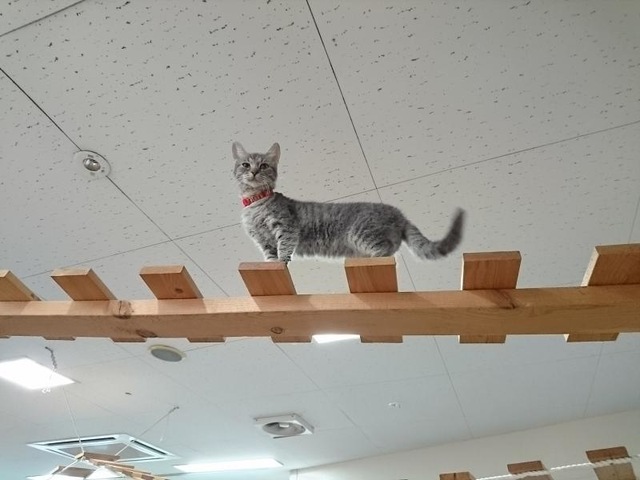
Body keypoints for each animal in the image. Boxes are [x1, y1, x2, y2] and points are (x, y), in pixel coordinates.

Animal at [232, 141, 465, 263]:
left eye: (263, 165)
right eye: (245, 164)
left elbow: (283, 250)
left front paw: (282, 262)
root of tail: (399, 213)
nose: (254, 171)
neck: (254, 206)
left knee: (387, 253)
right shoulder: (262, 241)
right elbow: (270, 257)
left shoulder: (286, 228)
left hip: (363, 234)